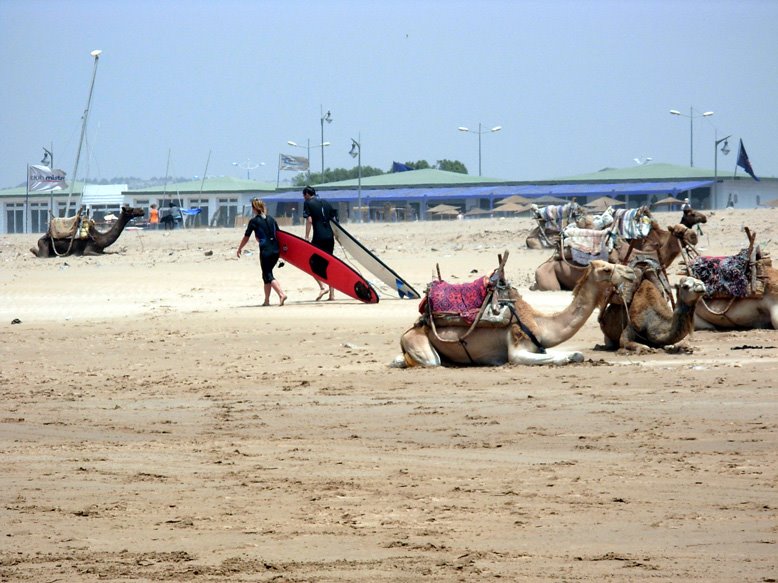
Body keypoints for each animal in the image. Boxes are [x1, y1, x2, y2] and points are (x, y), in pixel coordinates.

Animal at [392, 262, 632, 368]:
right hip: (419, 342)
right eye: (606, 269)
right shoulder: (518, 348)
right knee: (431, 361)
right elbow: (573, 355)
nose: (631, 271)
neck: (539, 323)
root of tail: (409, 330)